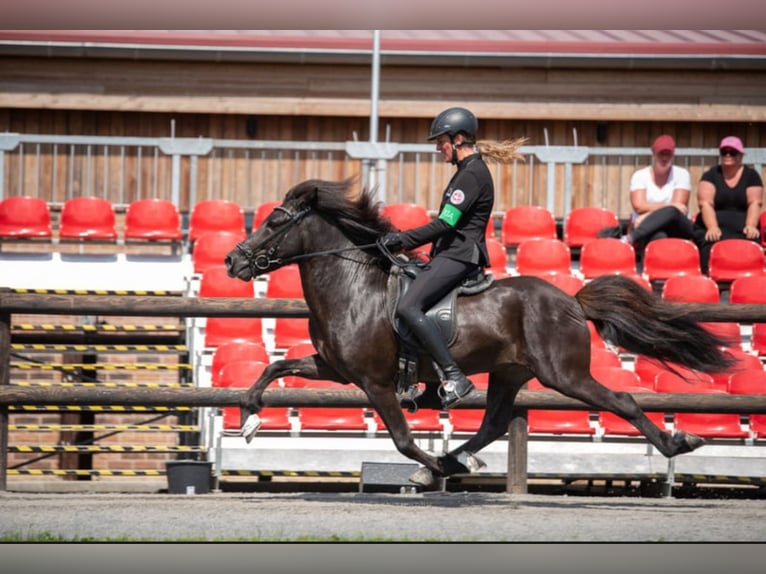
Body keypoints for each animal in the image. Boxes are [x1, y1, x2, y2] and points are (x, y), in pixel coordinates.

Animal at [225, 177, 735, 489]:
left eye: (275, 222)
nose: (232, 261)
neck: (354, 288)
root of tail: (571, 300)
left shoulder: (374, 382)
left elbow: (402, 439)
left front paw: (432, 469)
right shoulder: (333, 368)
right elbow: (273, 368)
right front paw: (248, 418)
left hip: (563, 374)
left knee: (623, 401)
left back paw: (677, 442)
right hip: (510, 372)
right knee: (493, 423)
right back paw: (458, 458)